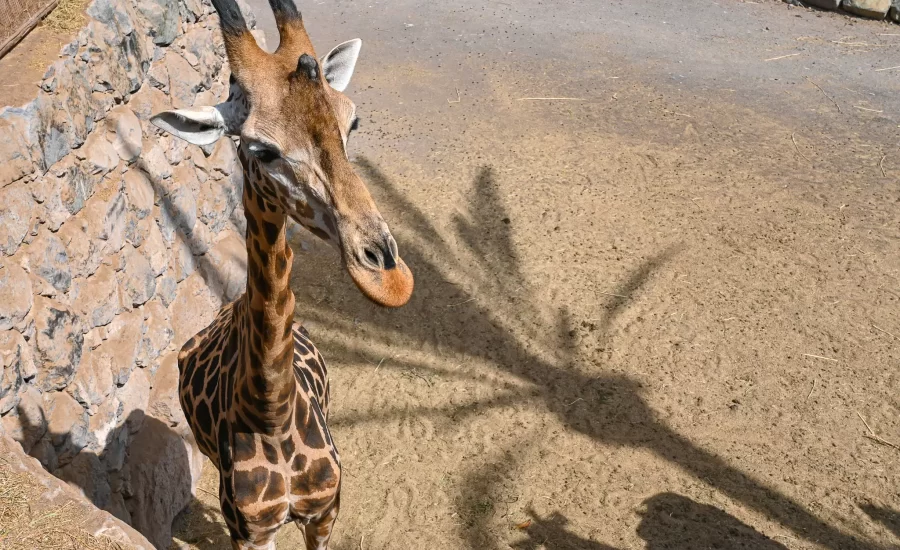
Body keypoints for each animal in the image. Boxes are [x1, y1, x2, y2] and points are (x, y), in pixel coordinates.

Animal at [148, 0, 414, 548]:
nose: (389, 279)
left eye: (352, 122)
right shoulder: (251, 531)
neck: (271, 413)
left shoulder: (324, 514)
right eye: (262, 151)